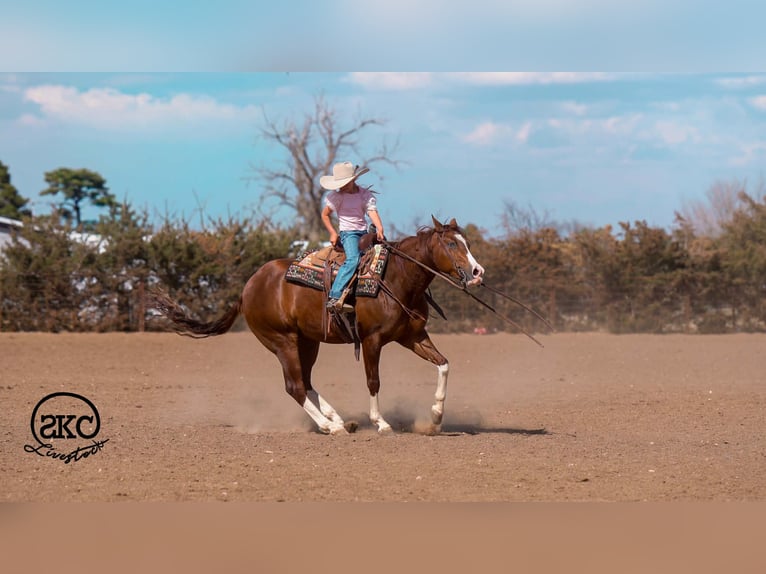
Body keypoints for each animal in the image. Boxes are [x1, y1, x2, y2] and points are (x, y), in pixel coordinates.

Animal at [150, 216, 485, 435]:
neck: (396, 278)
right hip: (282, 341)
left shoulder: (412, 335)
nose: (477, 272)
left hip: (307, 341)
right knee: (294, 386)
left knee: (306, 381)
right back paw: (328, 425)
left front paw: (436, 417)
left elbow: (444, 364)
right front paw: (381, 423)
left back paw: (337, 419)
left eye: (466, 243)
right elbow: (373, 381)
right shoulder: (372, 340)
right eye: (451, 243)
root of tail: (247, 289)